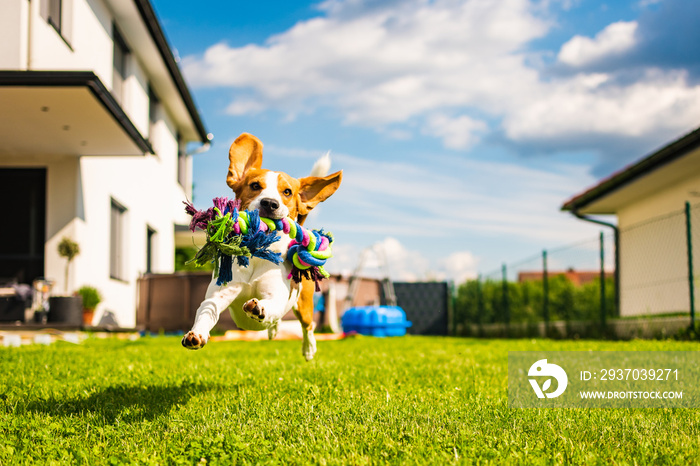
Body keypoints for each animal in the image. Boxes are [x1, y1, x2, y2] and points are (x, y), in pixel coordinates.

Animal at [182, 133, 344, 362]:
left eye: (287, 192)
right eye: (255, 185)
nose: (269, 203)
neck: (259, 250)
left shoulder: (276, 294)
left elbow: (272, 305)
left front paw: (260, 308)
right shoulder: (219, 294)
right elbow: (207, 309)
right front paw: (196, 333)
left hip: (304, 304)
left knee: (307, 325)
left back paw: (308, 347)